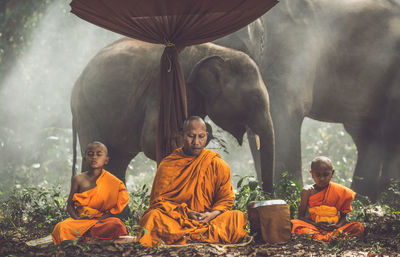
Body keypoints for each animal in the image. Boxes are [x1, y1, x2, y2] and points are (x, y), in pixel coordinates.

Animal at [70, 38, 276, 192]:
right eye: (254, 99)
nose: (264, 196)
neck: (211, 51)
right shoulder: (161, 93)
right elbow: (152, 141)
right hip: (86, 110)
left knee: (118, 159)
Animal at [216, 0, 400, 200]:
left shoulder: (294, 54)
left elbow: (284, 119)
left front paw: (290, 198)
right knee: (367, 135)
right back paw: (364, 199)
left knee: (389, 133)